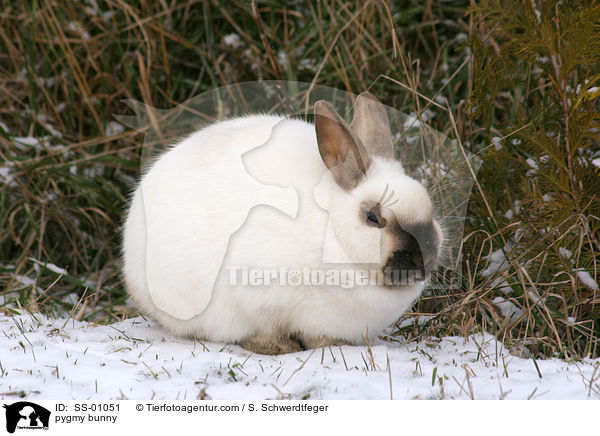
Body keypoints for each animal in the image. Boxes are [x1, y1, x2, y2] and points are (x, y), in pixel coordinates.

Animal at [122, 92, 442, 354]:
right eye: (372, 217)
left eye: (431, 209)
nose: (421, 258)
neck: (334, 235)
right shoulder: (255, 298)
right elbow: (263, 331)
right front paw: (280, 347)